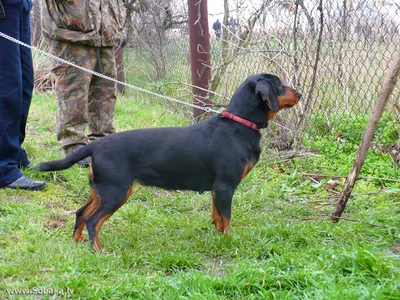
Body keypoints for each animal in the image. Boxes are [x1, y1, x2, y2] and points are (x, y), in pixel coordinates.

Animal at [38, 74, 300, 252]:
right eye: (278, 84)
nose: (298, 93)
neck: (239, 124)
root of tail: (96, 145)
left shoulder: (217, 189)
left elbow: (217, 216)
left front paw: (216, 236)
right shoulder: (225, 186)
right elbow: (226, 219)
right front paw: (228, 241)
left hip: (100, 189)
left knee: (81, 213)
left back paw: (78, 241)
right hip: (116, 191)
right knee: (93, 220)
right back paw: (99, 250)